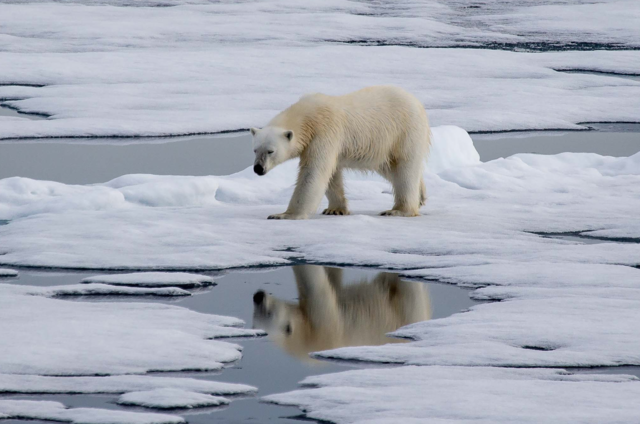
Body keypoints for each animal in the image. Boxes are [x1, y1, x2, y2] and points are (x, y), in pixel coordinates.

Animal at [250, 85, 430, 220]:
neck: (308, 116)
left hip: (404, 132)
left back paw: (398, 210)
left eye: (270, 151)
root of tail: (416, 102)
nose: (258, 168)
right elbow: (331, 173)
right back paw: (420, 196)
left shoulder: (324, 132)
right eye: (255, 150)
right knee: (390, 168)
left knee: (404, 169)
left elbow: (313, 172)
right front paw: (335, 209)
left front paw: (284, 214)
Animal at [252, 264, 432, 362]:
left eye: (268, 313)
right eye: (254, 318)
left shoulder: (323, 326)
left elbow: (317, 286)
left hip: (405, 310)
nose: (258, 296)